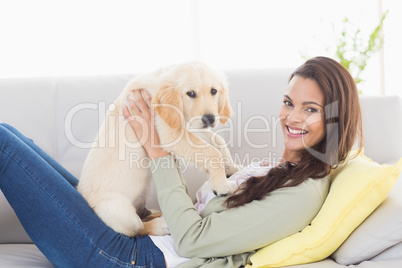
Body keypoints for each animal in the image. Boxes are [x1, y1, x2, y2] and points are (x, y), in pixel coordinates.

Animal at [79, 61, 242, 237]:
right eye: (191, 93)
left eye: (213, 91)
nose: (210, 119)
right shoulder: (170, 135)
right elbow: (212, 152)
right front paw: (222, 186)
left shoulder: (188, 124)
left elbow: (218, 141)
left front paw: (231, 168)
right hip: (116, 210)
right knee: (138, 229)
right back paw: (161, 225)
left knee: (142, 216)